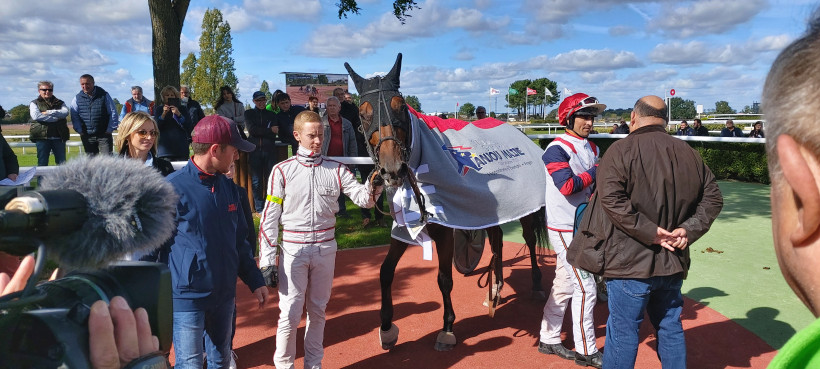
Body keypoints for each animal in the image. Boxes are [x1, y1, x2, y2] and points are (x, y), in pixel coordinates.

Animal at [346, 53, 552, 350]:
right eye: (363, 112)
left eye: (400, 107)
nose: (392, 168)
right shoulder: (404, 226)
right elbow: (385, 272)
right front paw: (386, 327)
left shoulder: (445, 231)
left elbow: (444, 279)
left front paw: (447, 327)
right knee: (498, 240)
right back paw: (496, 288)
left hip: (523, 207)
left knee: (529, 239)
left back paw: (535, 284)